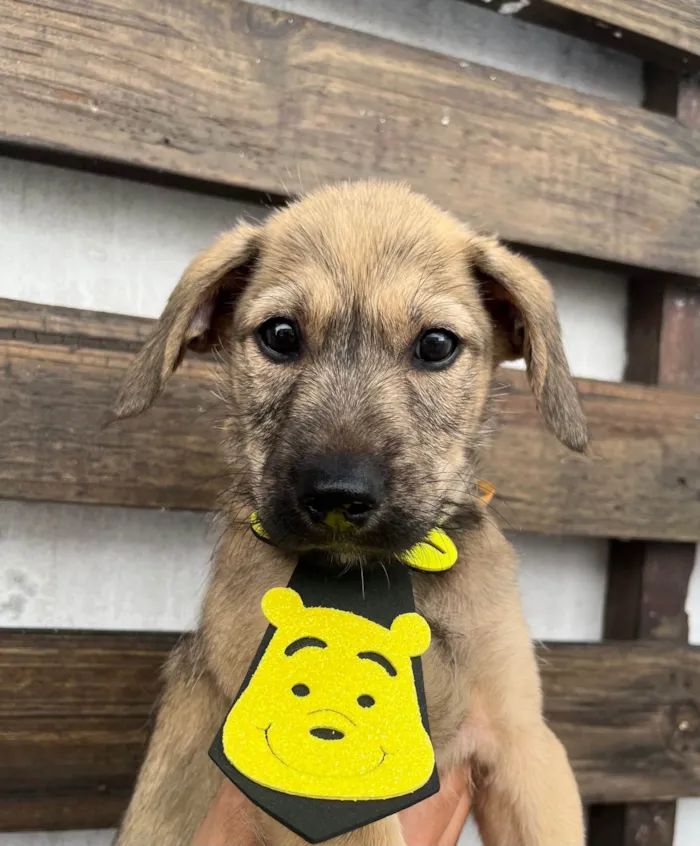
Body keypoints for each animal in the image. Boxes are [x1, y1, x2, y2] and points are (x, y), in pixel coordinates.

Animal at [113, 182, 584, 844]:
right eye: (281, 335)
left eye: (436, 344)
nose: (338, 495)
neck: (373, 581)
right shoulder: (324, 781)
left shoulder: (524, 742)